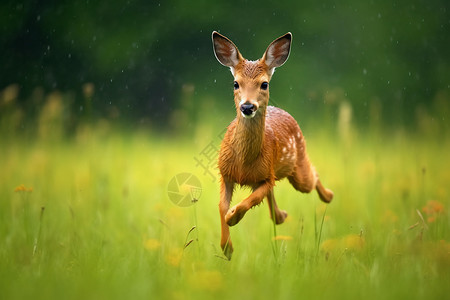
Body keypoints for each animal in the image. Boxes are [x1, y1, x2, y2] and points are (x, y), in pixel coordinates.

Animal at [212, 31, 334, 258]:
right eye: (235, 83)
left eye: (264, 84)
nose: (247, 106)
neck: (243, 164)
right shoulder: (225, 173)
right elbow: (221, 206)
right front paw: (227, 247)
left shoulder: (267, 176)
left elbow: (247, 202)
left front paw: (233, 218)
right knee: (275, 208)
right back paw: (282, 214)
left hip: (297, 166)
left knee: (312, 175)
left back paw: (328, 196)